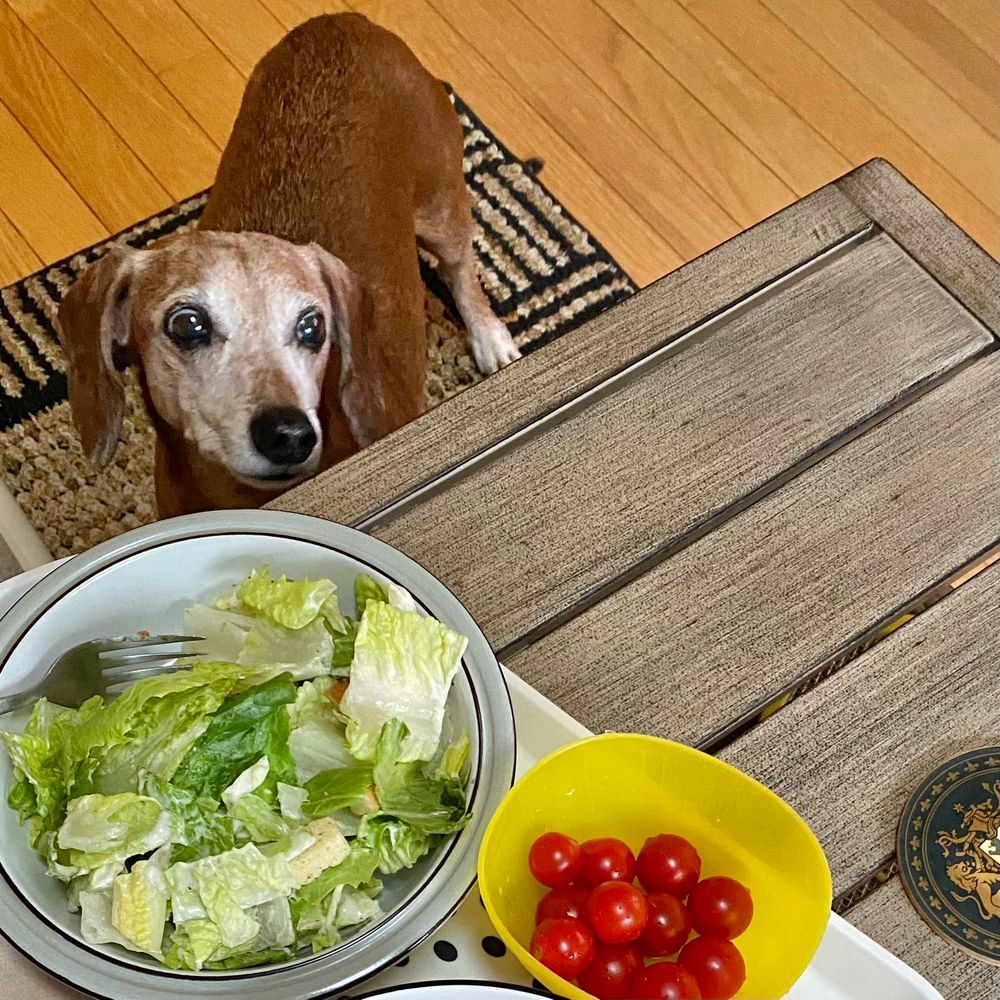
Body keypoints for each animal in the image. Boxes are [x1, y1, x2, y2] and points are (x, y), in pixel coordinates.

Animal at [56, 13, 520, 517]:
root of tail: (344, 21)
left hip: (442, 206)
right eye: (187, 324)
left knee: (461, 269)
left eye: (313, 326)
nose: (290, 435)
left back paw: (492, 340)